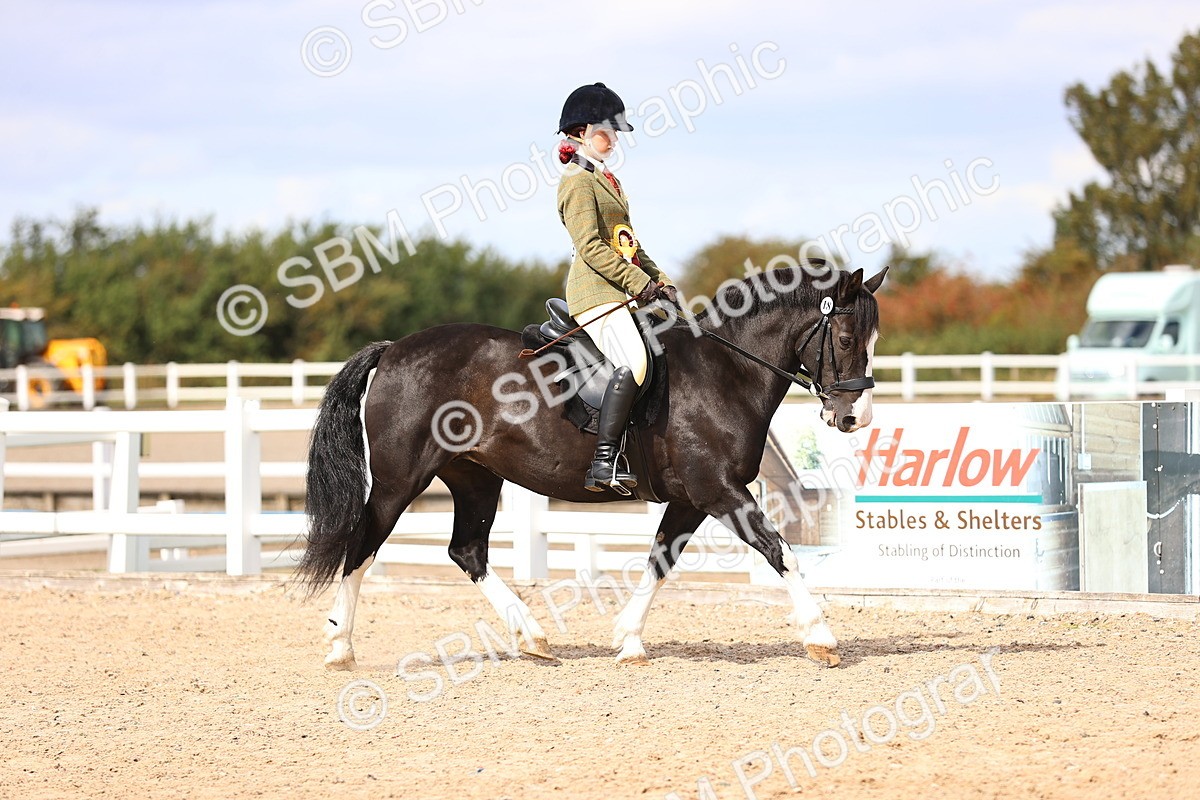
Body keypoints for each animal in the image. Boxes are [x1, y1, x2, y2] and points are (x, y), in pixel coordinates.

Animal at [296, 263, 886, 669]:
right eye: (845, 339)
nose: (854, 417)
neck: (725, 372)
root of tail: (395, 349)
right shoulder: (719, 490)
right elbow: (778, 549)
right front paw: (821, 638)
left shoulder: (691, 499)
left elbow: (660, 561)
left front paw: (628, 639)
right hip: (399, 480)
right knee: (362, 545)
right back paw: (339, 646)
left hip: (475, 477)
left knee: (467, 551)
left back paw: (532, 638)